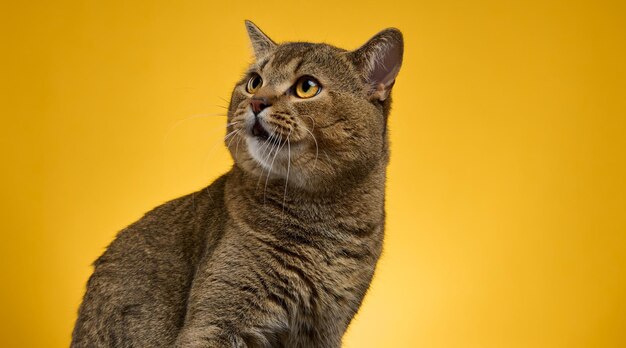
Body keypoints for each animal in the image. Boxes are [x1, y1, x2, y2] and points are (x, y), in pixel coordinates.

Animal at [70, 19, 402, 348]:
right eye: (254, 82)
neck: (321, 222)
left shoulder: (323, 330)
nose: (257, 101)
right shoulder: (215, 323)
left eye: (307, 87)